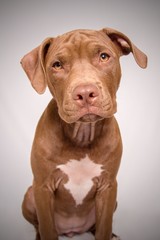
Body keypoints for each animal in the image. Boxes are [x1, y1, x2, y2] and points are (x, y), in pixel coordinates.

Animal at [21, 28, 148, 240]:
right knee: (40, 225)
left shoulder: (108, 187)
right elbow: (46, 227)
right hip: (30, 195)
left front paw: (107, 233)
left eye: (104, 56)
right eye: (57, 65)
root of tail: (72, 230)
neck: (82, 134)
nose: (86, 93)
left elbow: (104, 226)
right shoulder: (42, 187)